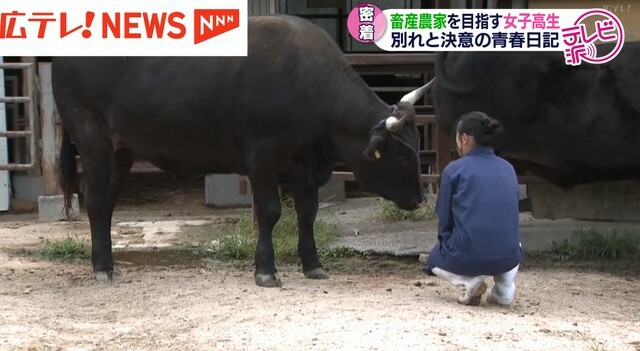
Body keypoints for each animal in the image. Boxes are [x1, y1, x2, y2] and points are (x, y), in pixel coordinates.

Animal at [52, 14, 428, 288]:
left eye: (418, 148)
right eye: (401, 156)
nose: (420, 200)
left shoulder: (306, 167)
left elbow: (307, 214)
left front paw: (313, 265)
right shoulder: (262, 158)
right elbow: (270, 213)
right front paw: (266, 271)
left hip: (122, 151)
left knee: (107, 205)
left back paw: (109, 264)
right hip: (93, 141)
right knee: (95, 201)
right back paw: (101, 268)